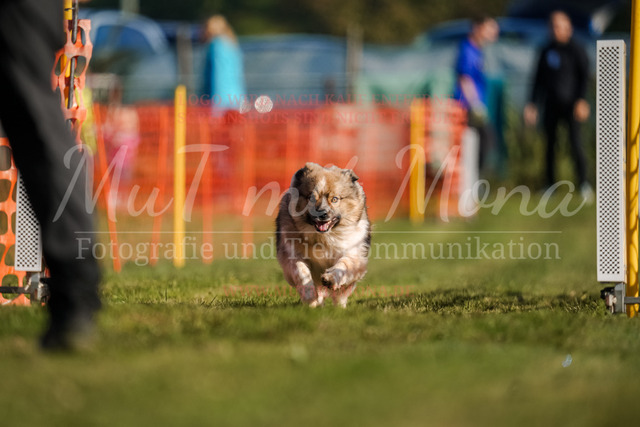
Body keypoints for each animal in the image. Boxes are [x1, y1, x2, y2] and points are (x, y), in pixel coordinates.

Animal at [276, 162, 371, 307]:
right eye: (311, 198)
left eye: (335, 199)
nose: (322, 214)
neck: (323, 237)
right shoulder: (292, 255)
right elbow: (302, 273)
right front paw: (310, 296)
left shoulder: (354, 253)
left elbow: (342, 265)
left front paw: (330, 278)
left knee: (340, 295)